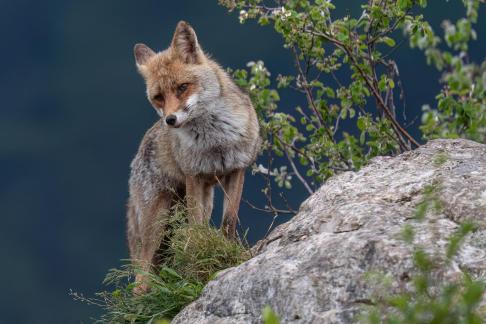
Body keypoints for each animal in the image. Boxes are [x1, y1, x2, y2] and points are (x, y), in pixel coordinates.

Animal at [127, 21, 260, 292]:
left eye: (182, 87)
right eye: (158, 97)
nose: (170, 120)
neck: (215, 142)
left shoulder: (236, 170)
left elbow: (228, 222)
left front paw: (227, 252)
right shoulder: (194, 177)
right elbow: (196, 228)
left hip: (199, 203)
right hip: (157, 223)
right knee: (141, 281)